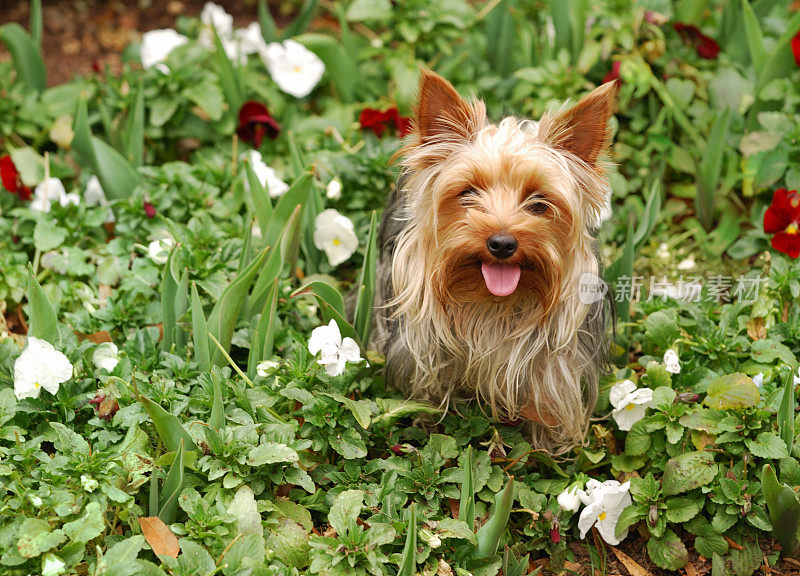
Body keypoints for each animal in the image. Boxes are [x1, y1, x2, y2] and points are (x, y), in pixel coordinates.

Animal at [378, 70, 616, 452]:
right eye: (467, 194)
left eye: (538, 203)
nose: (502, 243)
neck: (492, 305)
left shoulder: (555, 367)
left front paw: (544, 449)